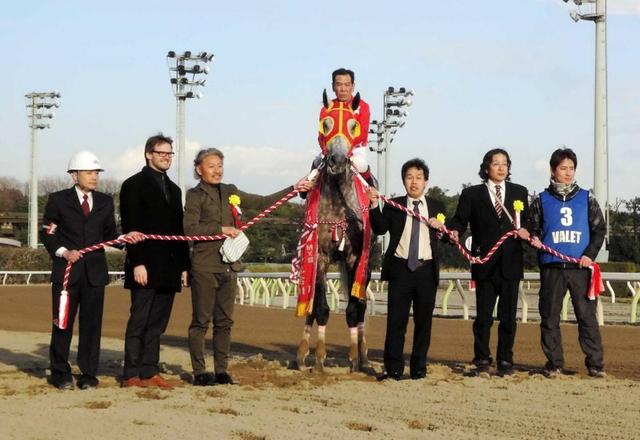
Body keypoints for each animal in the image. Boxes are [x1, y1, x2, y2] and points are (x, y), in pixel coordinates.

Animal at [293, 91, 374, 373]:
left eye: (354, 125)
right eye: (325, 124)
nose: (337, 161)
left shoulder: (354, 257)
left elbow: (352, 310)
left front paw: (353, 357)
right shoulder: (319, 255)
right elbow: (319, 308)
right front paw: (317, 357)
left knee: (360, 306)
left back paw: (364, 355)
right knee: (309, 306)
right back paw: (301, 354)